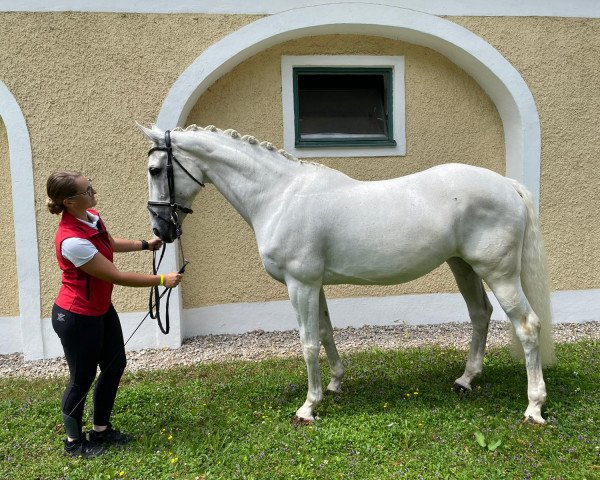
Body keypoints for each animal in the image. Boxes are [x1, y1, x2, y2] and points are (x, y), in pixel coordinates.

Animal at [138, 123, 556, 424]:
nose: (160, 230)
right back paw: (466, 380)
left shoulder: (300, 285)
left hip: (498, 272)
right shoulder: (314, 285)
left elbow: (308, 343)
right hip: (463, 266)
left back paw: (534, 407)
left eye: (156, 169)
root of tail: (507, 185)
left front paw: (308, 407)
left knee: (527, 325)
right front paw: (336, 384)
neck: (280, 195)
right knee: (480, 314)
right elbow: (325, 333)